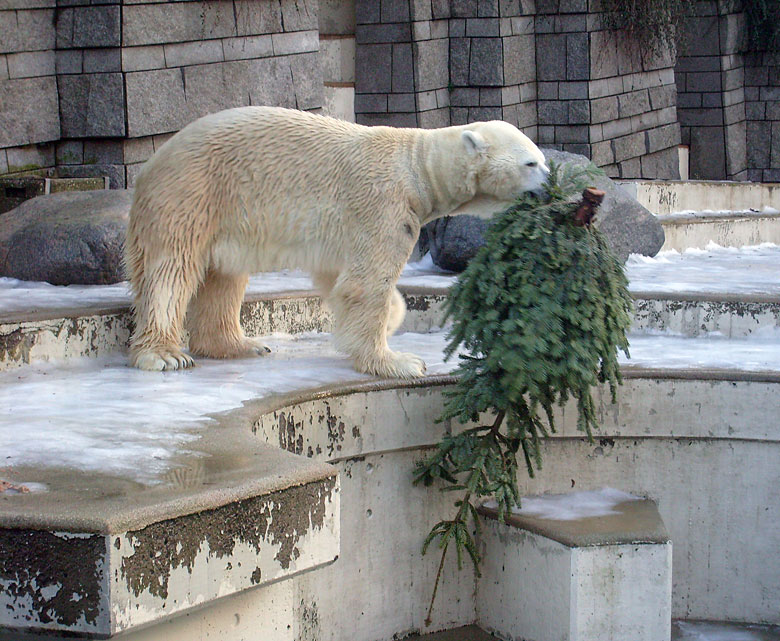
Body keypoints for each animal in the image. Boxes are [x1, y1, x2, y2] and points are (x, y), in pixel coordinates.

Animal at [125, 104, 548, 376]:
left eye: (542, 159)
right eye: (531, 162)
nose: (551, 182)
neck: (416, 168)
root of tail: (148, 167)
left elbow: (340, 278)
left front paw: (389, 321)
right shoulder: (385, 204)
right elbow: (366, 284)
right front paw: (398, 361)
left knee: (223, 277)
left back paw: (240, 344)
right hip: (192, 194)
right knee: (171, 272)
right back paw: (165, 355)